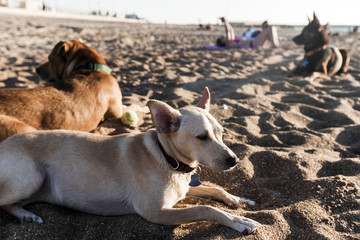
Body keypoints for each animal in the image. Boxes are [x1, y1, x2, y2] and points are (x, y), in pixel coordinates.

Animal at [0, 87, 260, 234]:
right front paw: (239, 221)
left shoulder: (183, 190)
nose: (234, 160)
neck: (169, 160)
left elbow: (215, 190)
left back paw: (26, 214)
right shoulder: (155, 211)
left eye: (222, 132)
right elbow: (207, 208)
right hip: (31, 177)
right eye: (202, 137)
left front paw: (239, 199)